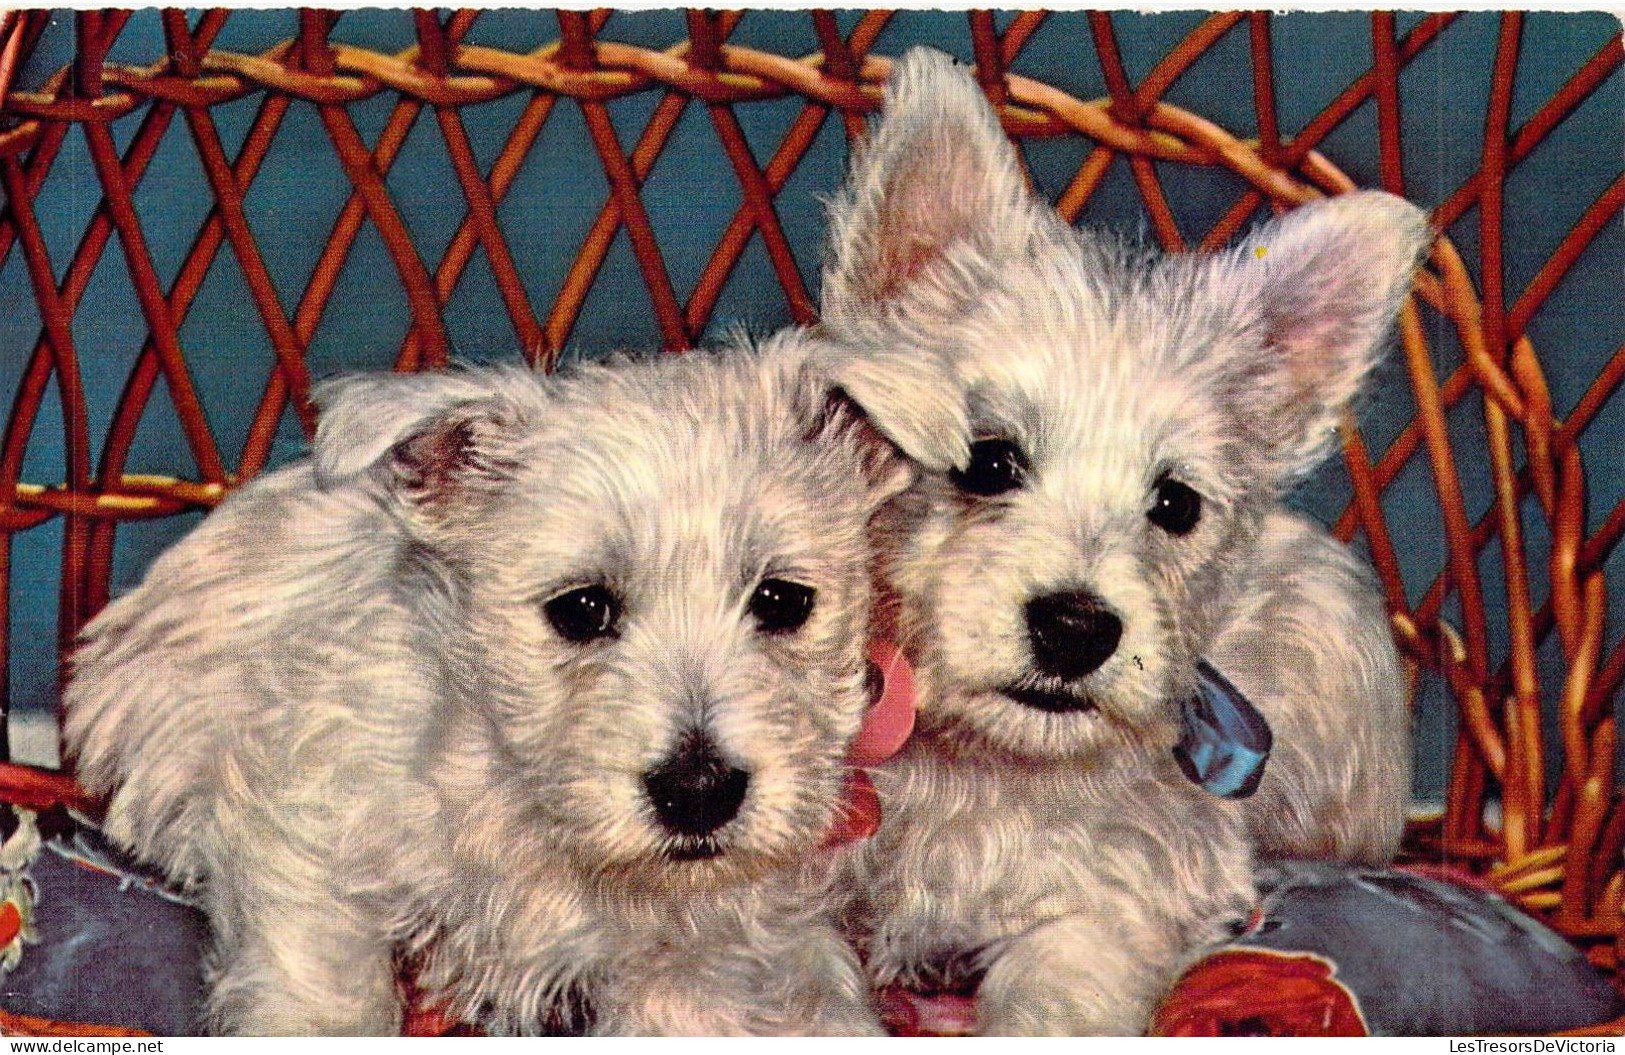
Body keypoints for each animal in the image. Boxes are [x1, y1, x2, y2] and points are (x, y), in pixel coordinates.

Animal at [819, 47, 1430, 1027]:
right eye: (986, 461)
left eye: (1174, 504)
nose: (1076, 627)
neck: (986, 768)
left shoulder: (1107, 905)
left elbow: (1052, 992)